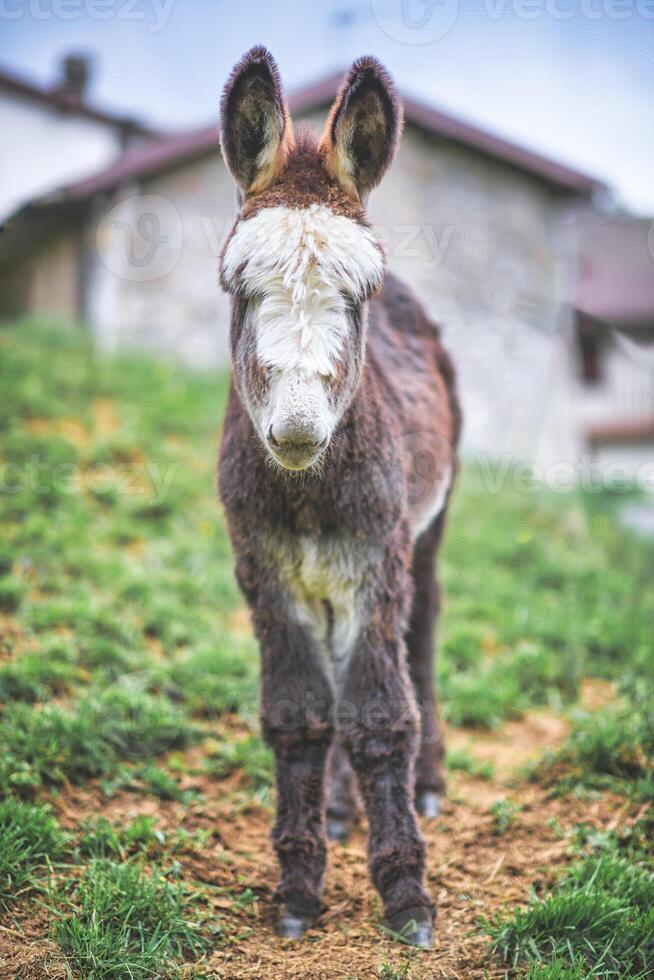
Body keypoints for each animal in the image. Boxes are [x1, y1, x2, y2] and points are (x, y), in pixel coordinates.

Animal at [218, 47, 458, 948]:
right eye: (238, 289)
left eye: (358, 297)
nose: (295, 428)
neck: (309, 493)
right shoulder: (267, 572)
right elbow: (299, 716)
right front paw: (297, 888)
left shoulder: (375, 562)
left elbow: (380, 717)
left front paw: (407, 898)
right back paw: (337, 808)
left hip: (427, 535)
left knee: (421, 635)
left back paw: (425, 785)